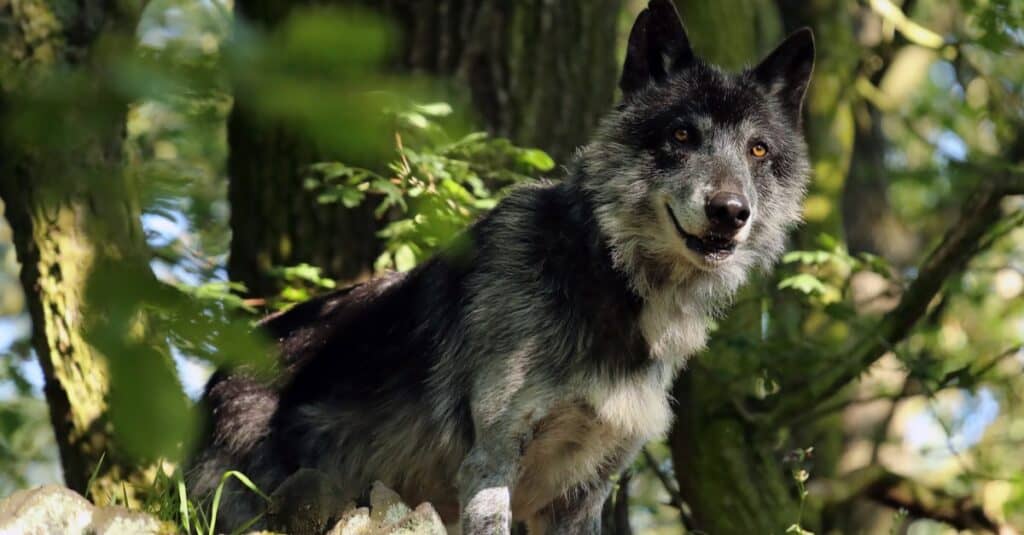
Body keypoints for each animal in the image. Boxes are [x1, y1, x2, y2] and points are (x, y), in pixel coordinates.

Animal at [188, 2, 815, 528]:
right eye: (682, 134)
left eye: (758, 150)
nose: (730, 212)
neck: (601, 273)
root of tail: (217, 378)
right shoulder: (491, 463)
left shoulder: (583, 493)